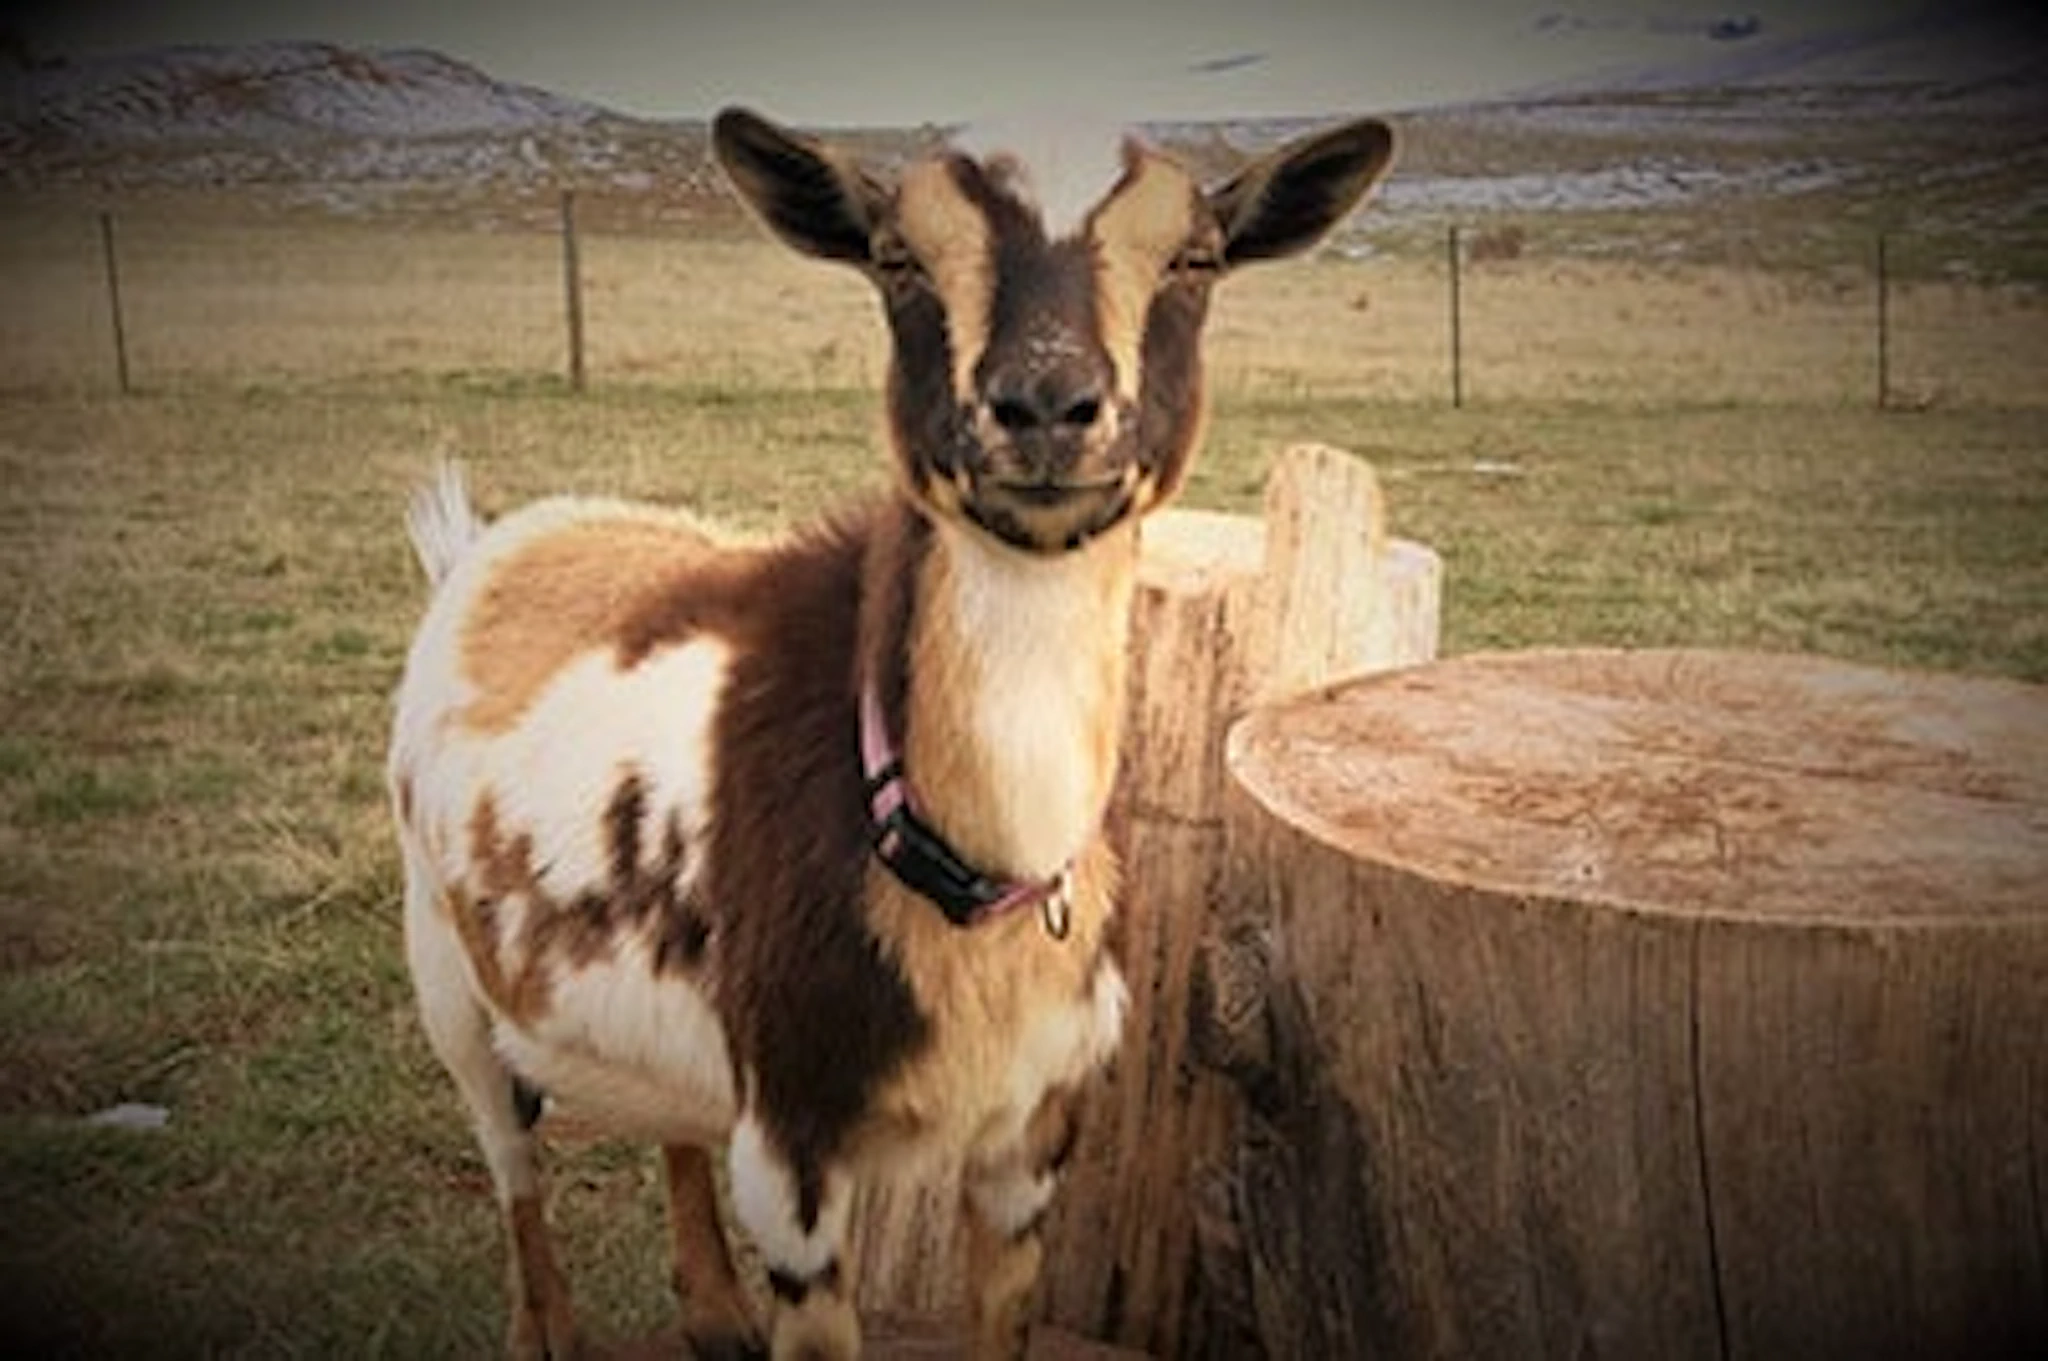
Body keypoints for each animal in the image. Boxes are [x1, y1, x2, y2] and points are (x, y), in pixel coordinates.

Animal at [388, 106, 1394, 1360]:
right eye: (896, 258)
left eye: (1195, 258)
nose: (1045, 406)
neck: (963, 870)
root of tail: (498, 542)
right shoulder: (795, 1151)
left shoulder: (1029, 1142)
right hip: (446, 969)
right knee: (512, 1159)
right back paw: (551, 1329)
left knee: (670, 1122)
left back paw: (712, 1312)